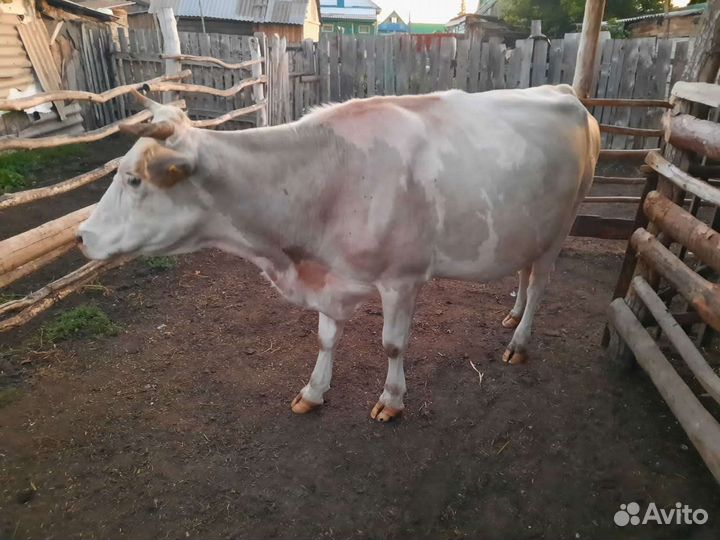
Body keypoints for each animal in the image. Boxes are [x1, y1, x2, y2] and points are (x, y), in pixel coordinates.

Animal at [77, 84, 600, 422]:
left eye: (133, 179)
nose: (81, 236)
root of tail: (567, 93)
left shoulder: (402, 279)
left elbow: (392, 344)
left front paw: (392, 400)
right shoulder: (329, 276)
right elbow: (326, 338)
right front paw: (313, 391)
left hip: (563, 224)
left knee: (540, 285)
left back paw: (519, 342)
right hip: (528, 226)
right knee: (524, 273)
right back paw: (511, 316)